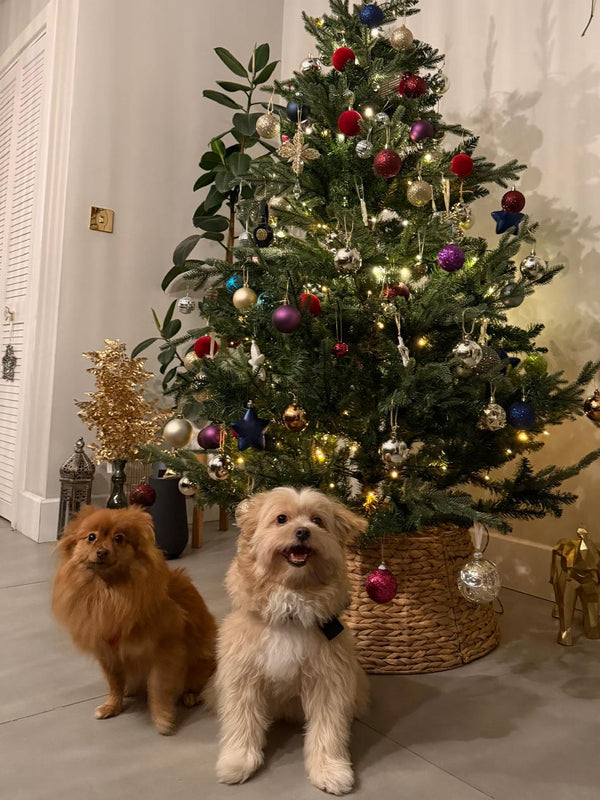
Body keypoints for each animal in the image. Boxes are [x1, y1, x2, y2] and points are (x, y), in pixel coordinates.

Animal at [52, 505, 217, 734]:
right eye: (91, 537)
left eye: (119, 538)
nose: (102, 551)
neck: (109, 592)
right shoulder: (108, 653)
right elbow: (114, 683)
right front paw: (112, 706)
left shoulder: (164, 652)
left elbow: (157, 688)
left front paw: (162, 718)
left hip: (199, 663)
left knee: (198, 683)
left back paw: (190, 696)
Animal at [214, 487, 369, 795]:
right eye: (281, 518)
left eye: (317, 520)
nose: (302, 531)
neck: (290, 610)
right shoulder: (242, 676)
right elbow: (241, 722)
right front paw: (237, 761)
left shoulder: (329, 680)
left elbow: (328, 730)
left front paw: (331, 770)